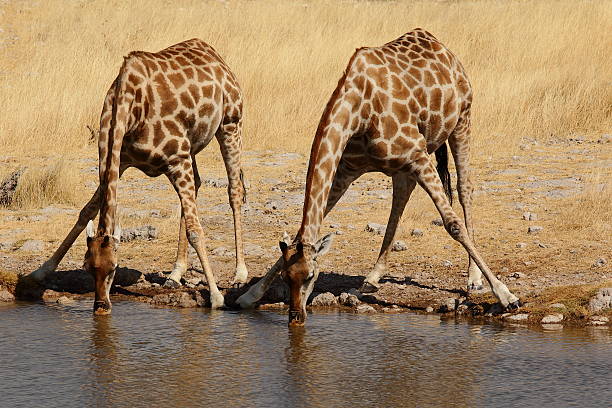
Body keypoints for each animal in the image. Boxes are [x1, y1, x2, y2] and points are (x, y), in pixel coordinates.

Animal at [28, 39, 249, 312]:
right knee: (197, 185)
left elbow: (196, 230)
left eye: (114, 269)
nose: (101, 306)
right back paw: (175, 274)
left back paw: (240, 274)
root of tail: (213, 54)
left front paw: (217, 297)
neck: (130, 108)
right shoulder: (122, 161)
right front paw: (42, 270)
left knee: (234, 190)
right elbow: (86, 211)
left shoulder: (177, 159)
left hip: (230, 123)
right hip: (191, 147)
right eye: (87, 267)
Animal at [238, 27, 520, 326]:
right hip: (403, 165)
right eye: (286, 276)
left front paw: (506, 296)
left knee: (464, 188)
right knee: (402, 197)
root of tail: (441, 46)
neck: (359, 111)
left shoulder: (419, 155)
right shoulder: (347, 170)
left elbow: (452, 224)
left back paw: (474, 279)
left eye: (312, 276)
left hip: (462, 120)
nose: (295, 317)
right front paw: (249, 295)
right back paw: (372, 278)